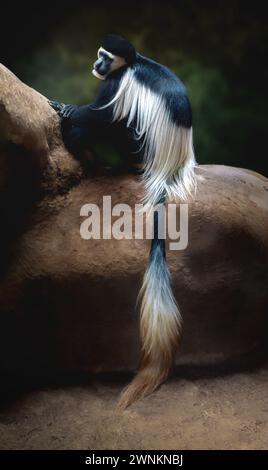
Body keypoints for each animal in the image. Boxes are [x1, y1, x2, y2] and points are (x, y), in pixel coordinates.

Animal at [49, 34, 196, 408]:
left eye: (104, 57)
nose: (97, 65)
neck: (132, 63)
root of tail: (166, 173)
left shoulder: (118, 84)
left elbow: (101, 113)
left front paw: (65, 109)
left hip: (134, 144)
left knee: (106, 124)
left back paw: (95, 159)